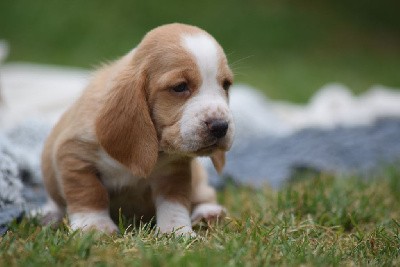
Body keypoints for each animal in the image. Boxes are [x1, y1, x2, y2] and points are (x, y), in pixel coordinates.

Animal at [39, 23, 234, 237]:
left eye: (226, 85)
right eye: (180, 87)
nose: (220, 126)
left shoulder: (174, 171)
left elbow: (174, 202)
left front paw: (176, 231)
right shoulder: (73, 156)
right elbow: (89, 193)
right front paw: (95, 226)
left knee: (205, 195)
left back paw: (209, 212)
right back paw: (49, 215)